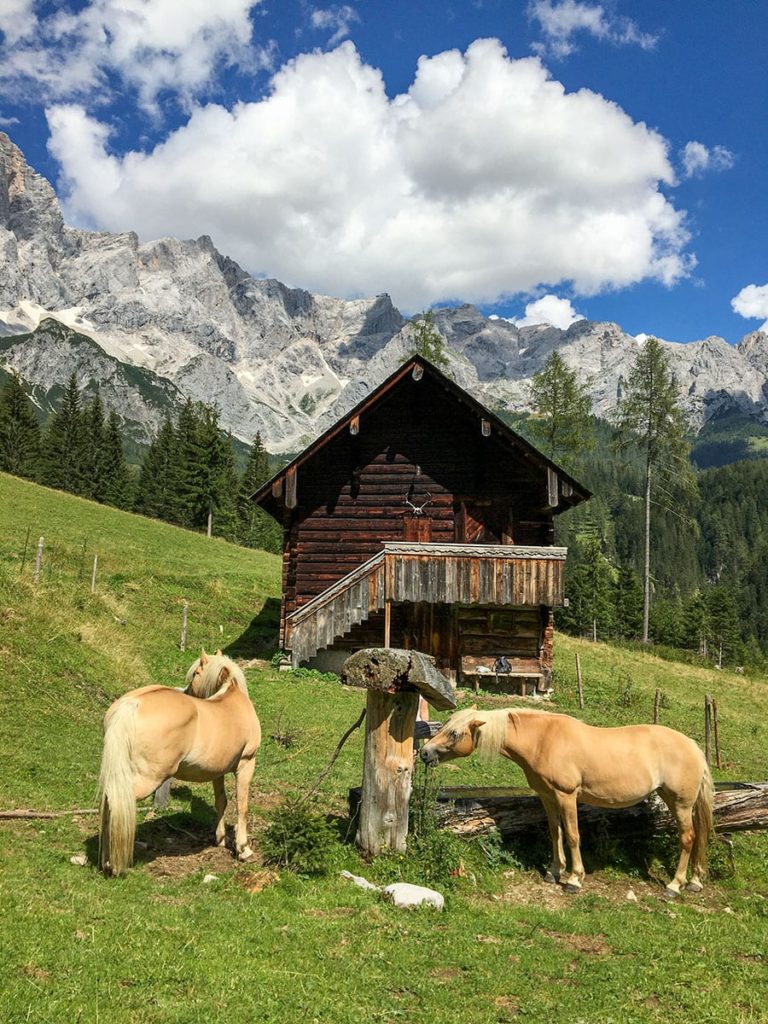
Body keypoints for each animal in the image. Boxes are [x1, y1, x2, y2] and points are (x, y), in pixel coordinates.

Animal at [97, 651, 262, 876]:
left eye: (196, 674)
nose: (187, 691)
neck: (232, 698)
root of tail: (133, 703)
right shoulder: (246, 764)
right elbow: (242, 805)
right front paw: (243, 848)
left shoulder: (217, 772)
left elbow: (221, 802)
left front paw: (219, 839)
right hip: (147, 779)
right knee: (114, 803)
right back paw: (112, 864)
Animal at [421, 704, 716, 897]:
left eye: (455, 734)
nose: (424, 753)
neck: (543, 739)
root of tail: (693, 746)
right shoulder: (548, 797)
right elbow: (556, 832)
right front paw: (554, 872)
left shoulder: (567, 795)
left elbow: (573, 835)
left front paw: (574, 879)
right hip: (673, 800)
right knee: (697, 836)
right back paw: (695, 881)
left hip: (681, 803)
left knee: (688, 838)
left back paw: (675, 886)